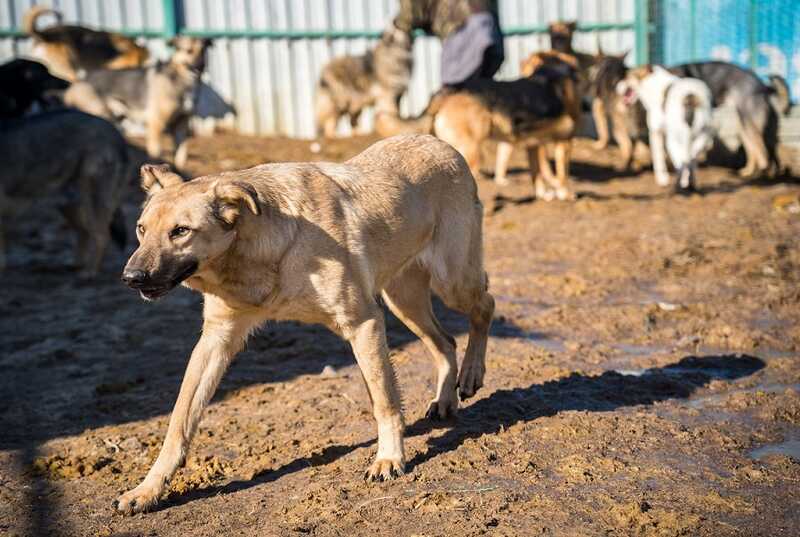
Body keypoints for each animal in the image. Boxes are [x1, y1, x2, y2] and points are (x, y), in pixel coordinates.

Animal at [114, 133, 494, 510]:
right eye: (141, 229)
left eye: (180, 231)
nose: (130, 278)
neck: (256, 249)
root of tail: (437, 141)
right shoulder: (216, 340)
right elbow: (179, 420)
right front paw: (148, 489)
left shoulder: (363, 322)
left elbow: (384, 401)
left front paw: (389, 459)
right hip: (404, 300)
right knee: (446, 341)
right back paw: (445, 399)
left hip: (451, 281)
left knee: (484, 306)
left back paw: (471, 374)